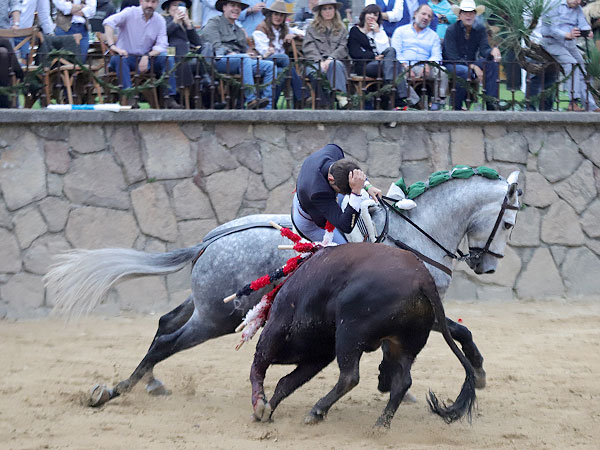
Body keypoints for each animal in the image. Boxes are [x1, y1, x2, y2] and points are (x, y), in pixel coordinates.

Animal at [45, 170, 520, 408]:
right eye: (509, 222)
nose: (488, 264)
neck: (411, 232)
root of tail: (207, 242)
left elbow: (439, 338)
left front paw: (394, 382)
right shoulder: (422, 310)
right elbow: (459, 332)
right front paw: (476, 372)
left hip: (205, 306)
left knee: (164, 325)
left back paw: (146, 383)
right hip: (218, 318)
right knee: (168, 341)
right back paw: (116, 390)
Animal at [251, 243, 476, 428]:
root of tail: (423, 279)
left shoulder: (277, 329)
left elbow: (259, 367)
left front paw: (260, 406)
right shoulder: (319, 356)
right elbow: (286, 382)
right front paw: (266, 410)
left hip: (349, 333)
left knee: (350, 377)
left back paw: (317, 412)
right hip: (405, 344)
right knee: (402, 381)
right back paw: (381, 425)